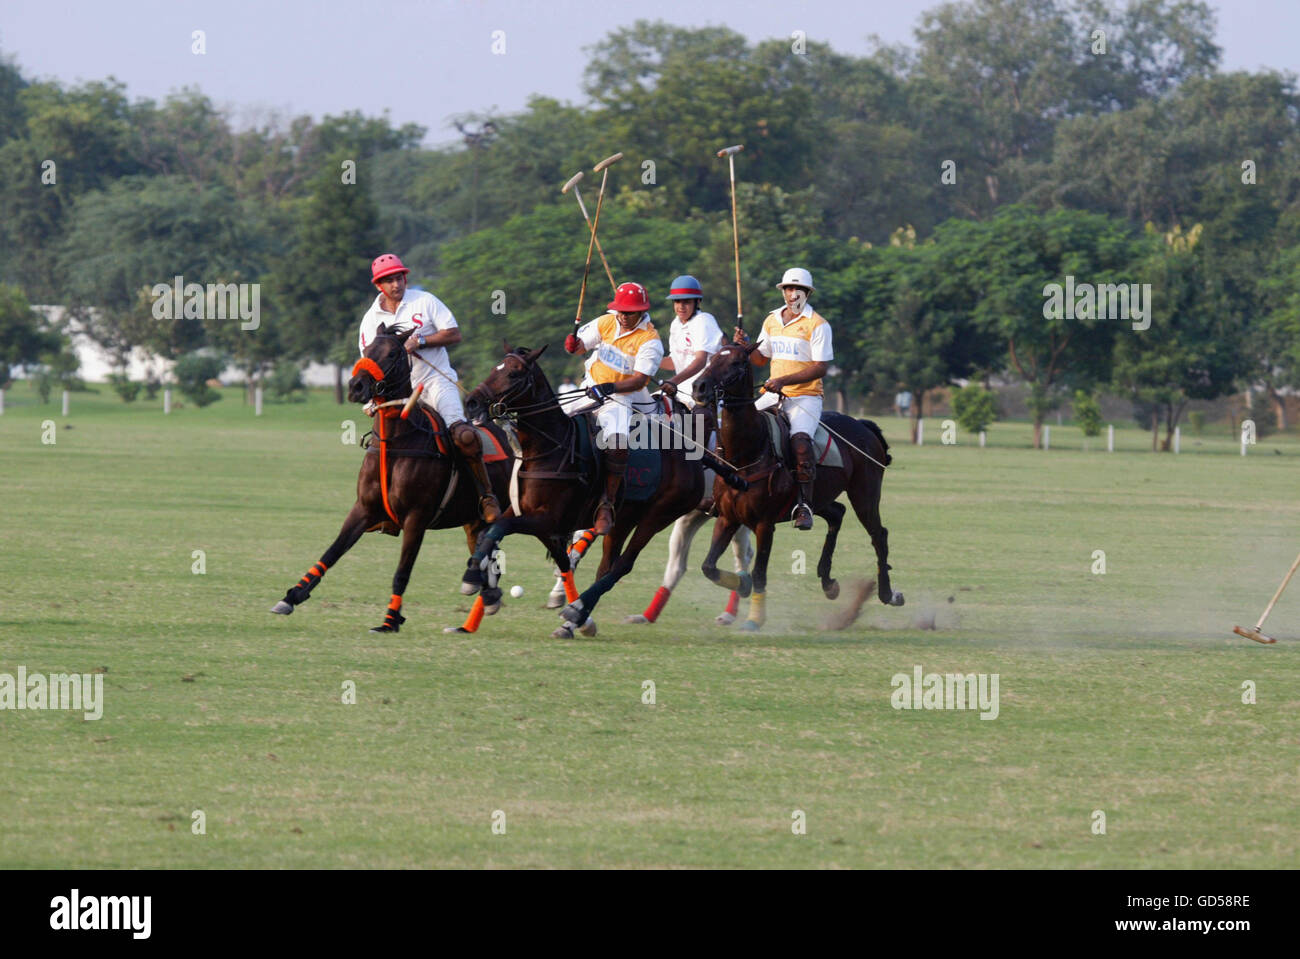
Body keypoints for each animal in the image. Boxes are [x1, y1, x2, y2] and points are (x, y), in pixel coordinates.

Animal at [269, 324, 512, 631]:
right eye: (367, 349)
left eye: (393, 354)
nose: (356, 386)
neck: (396, 440)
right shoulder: (363, 508)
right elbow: (332, 551)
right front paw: (291, 596)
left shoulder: (416, 517)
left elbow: (402, 571)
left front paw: (390, 620)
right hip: (473, 521)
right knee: (483, 555)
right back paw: (486, 598)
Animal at [457, 343, 722, 634]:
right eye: (496, 368)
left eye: (514, 373)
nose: (472, 402)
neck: (550, 447)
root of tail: (694, 455)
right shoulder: (526, 513)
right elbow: (497, 535)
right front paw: (485, 587)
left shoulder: (547, 519)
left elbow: (501, 529)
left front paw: (472, 578)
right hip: (623, 518)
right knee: (607, 565)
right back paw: (575, 617)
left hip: (659, 515)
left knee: (623, 564)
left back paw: (576, 612)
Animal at [691, 343, 904, 628]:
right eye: (713, 358)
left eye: (736, 362)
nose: (699, 387)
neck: (747, 453)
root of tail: (863, 425)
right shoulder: (727, 517)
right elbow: (709, 567)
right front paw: (742, 585)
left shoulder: (765, 524)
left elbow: (759, 573)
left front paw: (755, 620)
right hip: (820, 497)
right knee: (837, 513)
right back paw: (828, 582)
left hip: (865, 494)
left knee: (878, 534)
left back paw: (887, 593)